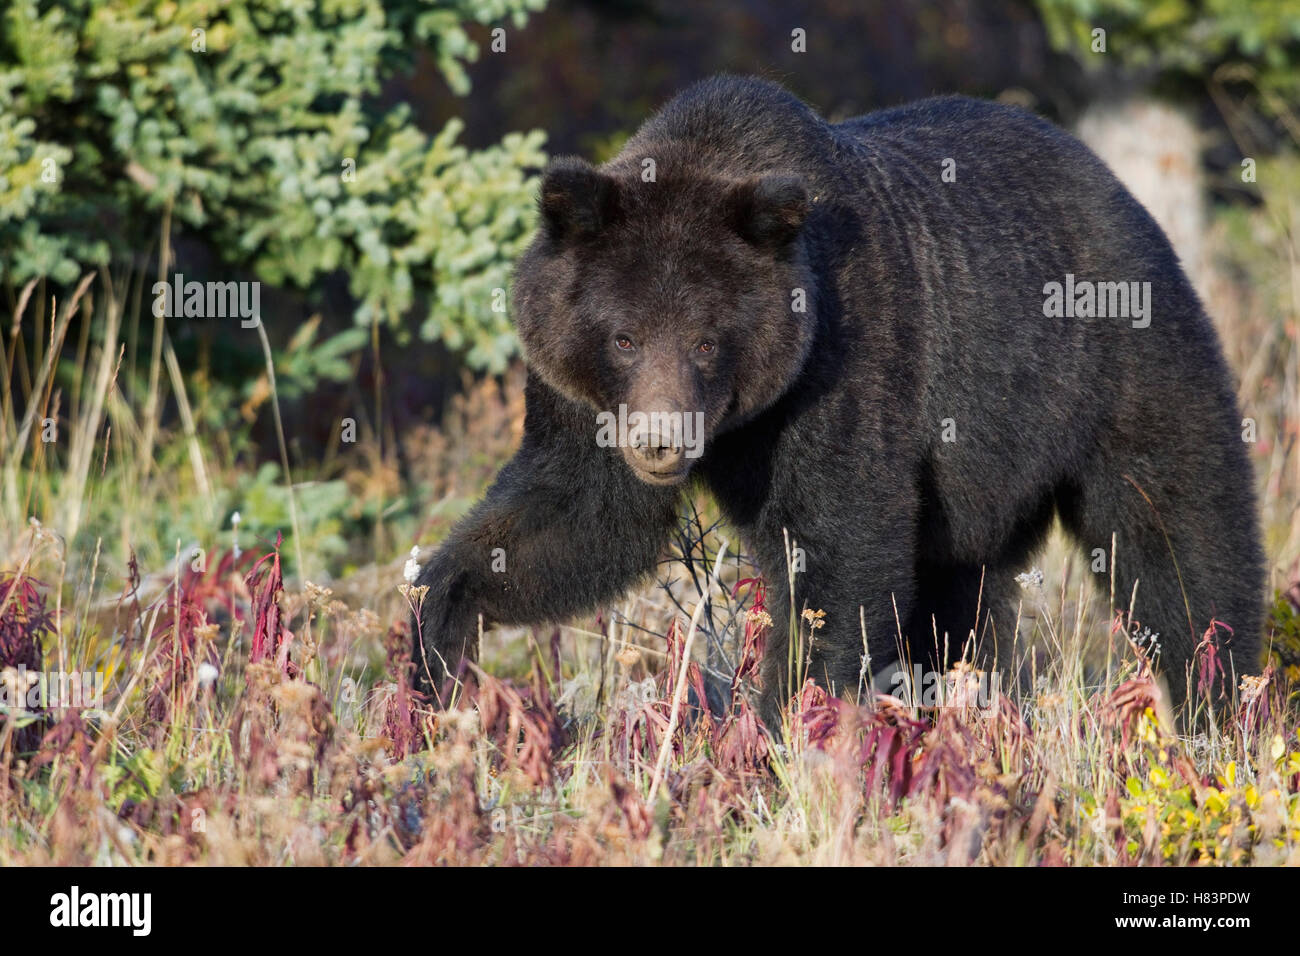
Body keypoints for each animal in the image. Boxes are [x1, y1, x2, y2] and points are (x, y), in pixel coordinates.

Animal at [410, 74, 1264, 725]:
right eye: (623, 336)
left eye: (706, 341)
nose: (660, 442)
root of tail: (1111, 180)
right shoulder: (581, 397)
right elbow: (571, 520)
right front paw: (436, 647)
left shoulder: (840, 369)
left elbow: (837, 557)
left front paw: (786, 721)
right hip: (981, 482)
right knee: (965, 602)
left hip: (1118, 364)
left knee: (1182, 538)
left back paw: (1221, 705)